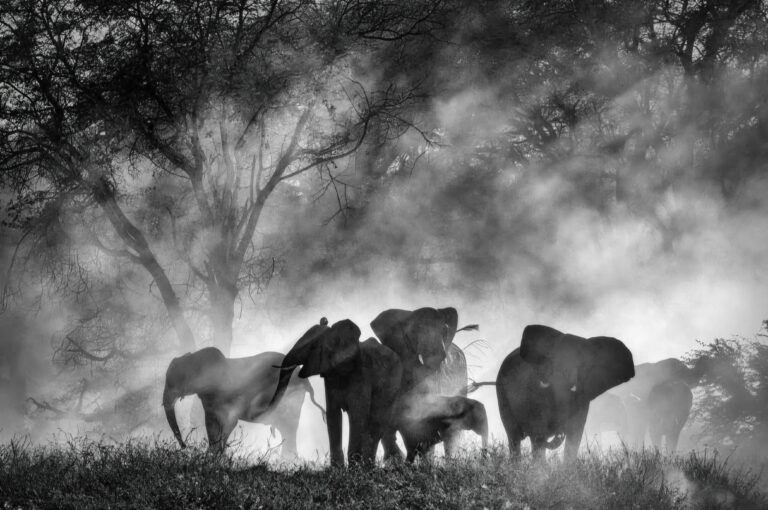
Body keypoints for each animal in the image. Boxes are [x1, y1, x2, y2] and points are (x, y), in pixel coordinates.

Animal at [162, 347, 325, 455]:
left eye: (175, 381)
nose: (186, 447)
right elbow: (211, 424)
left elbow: (228, 422)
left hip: (292, 397)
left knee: (289, 428)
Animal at [270, 318, 402, 467]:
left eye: (313, 347)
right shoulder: (330, 377)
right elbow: (333, 415)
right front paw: (337, 469)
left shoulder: (361, 375)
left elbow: (358, 415)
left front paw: (354, 469)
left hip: (393, 386)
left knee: (376, 422)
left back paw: (368, 467)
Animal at [496, 324, 635, 460]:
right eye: (552, 361)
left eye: (582, 365)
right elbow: (538, 431)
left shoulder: (583, 396)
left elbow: (575, 434)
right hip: (502, 395)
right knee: (514, 437)